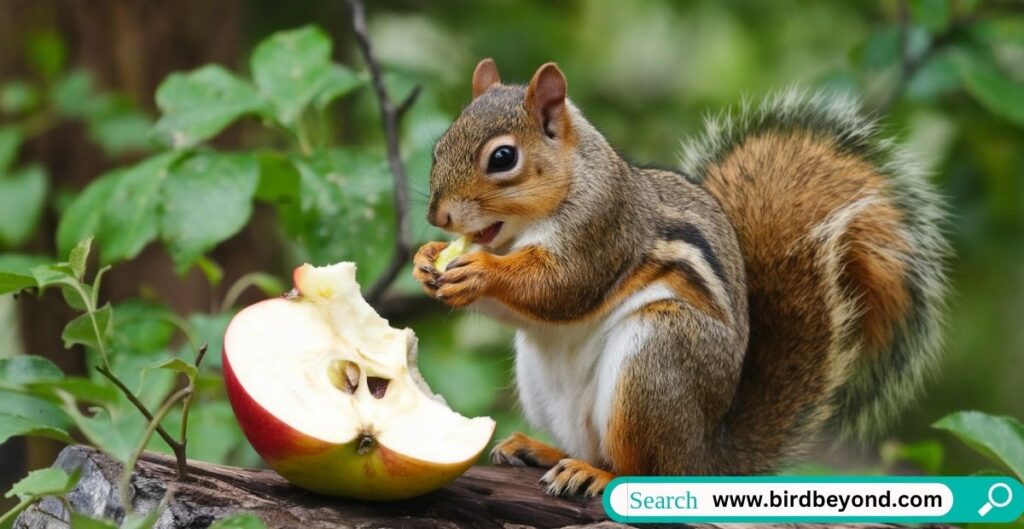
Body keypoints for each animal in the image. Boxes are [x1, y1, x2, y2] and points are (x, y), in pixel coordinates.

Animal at [411, 59, 946, 497]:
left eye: (503, 158)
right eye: (439, 147)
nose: (438, 216)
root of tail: (703, 455)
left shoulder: (604, 228)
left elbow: (561, 287)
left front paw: (479, 271)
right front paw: (425, 259)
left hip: (657, 358)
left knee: (641, 467)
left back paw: (595, 474)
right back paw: (543, 451)